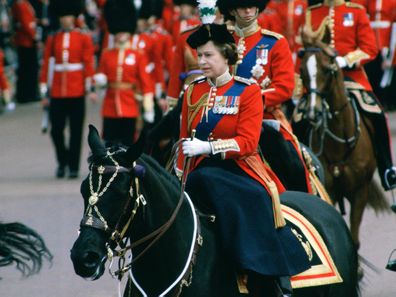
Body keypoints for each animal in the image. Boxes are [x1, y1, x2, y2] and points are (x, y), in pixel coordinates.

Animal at [294, 26, 386, 252]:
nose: (313, 113)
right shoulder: (330, 190)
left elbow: (353, 239)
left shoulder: (360, 191)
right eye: (302, 71)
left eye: (328, 69)